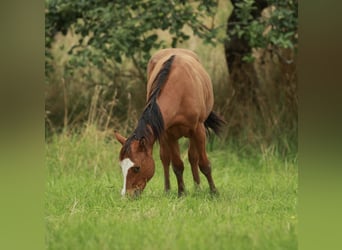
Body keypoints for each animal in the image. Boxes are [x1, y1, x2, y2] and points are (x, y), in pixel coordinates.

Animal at [115, 48, 226, 197]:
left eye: (137, 168)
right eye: (121, 166)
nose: (127, 195)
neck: (180, 93)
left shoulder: (198, 130)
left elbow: (204, 164)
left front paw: (214, 192)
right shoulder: (169, 134)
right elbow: (177, 165)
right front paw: (181, 193)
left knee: (193, 158)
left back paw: (197, 188)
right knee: (165, 159)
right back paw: (168, 190)